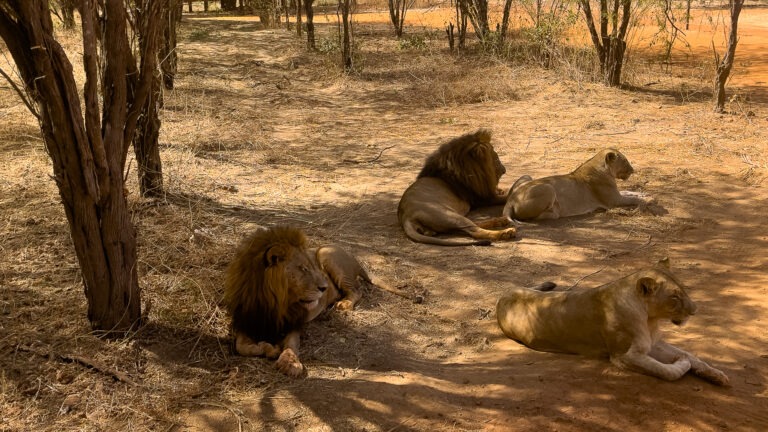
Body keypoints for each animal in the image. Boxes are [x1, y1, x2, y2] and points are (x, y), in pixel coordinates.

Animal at [223, 226, 372, 377]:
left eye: (311, 267)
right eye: (303, 268)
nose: (324, 287)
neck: (272, 302)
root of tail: (353, 257)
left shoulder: (293, 324)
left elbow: (291, 344)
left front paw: (290, 363)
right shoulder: (244, 321)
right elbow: (241, 346)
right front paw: (269, 348)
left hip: (326, 254)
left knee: (357, 290)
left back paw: (344, 304)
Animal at [496, 258, 729, 386]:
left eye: (684, 289)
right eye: (674, 297)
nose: (695, 310)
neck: (650, 318)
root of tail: (503, 295)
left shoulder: (653, 343)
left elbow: (693, 355)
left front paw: (717, 375)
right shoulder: (624, 356)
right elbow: (667, 371)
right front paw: (682, 363)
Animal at [503, 148, 649, 221]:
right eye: (625, 161)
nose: (633, 170)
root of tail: (510, 201)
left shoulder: (616, 194)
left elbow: (630, 192)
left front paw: (644, 194)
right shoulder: (613, 201)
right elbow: (633, 199)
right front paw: (645, 202)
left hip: (526, 176)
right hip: (548, 187)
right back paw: (555, 212)